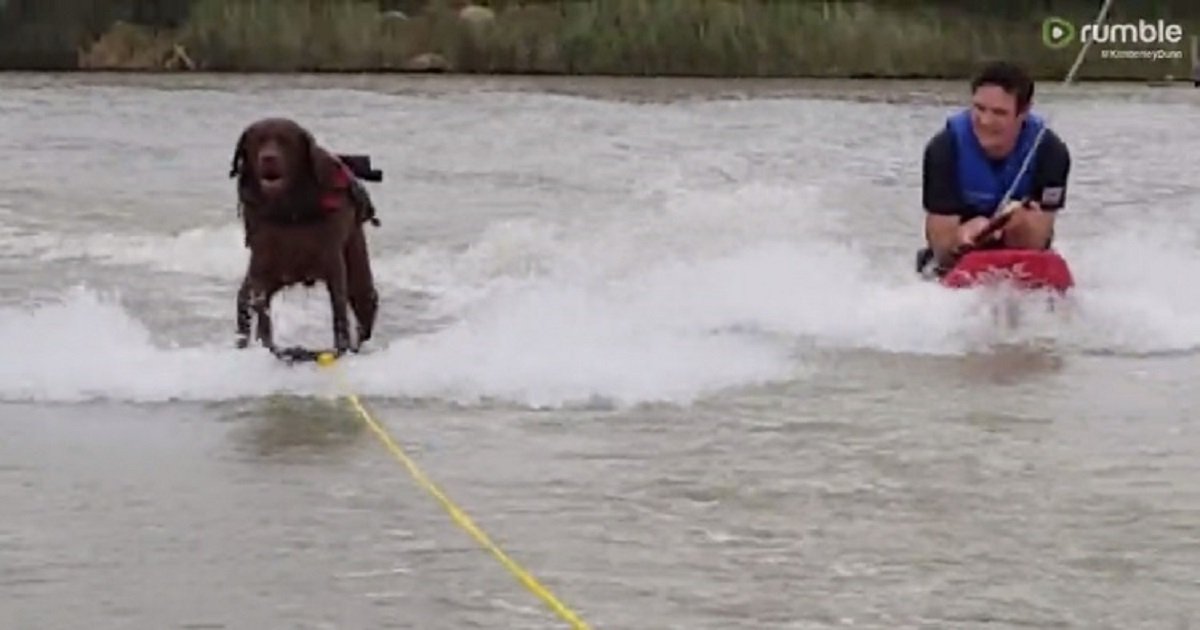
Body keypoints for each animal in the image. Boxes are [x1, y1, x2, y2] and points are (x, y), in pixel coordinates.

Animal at [231, 115, 381, 355]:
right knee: (244, 303)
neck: (290, 209)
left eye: (285, 140)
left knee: (364, 301)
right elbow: (262, 310)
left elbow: (339, 309)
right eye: (258, 139)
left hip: (358, 266)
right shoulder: (263, 260)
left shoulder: (332, 259)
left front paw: (341, 347)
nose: (268, 158)